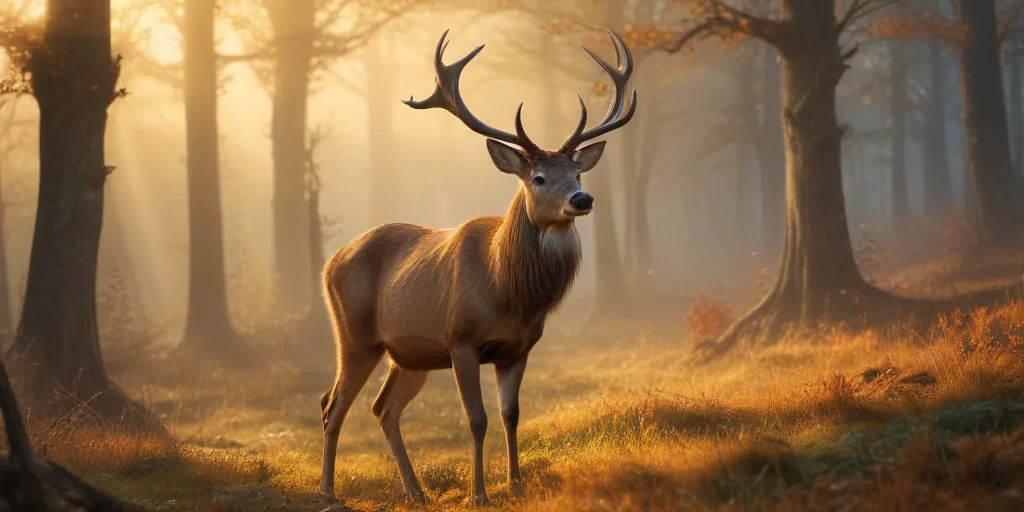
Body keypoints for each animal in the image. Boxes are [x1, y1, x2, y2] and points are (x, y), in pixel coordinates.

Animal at [318, 29, 637, 506]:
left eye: (578, 174)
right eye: (538, 177)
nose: (582, 199)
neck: (507, 292)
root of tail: (329, 262)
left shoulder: (520, 348)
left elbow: (511, 415)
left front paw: (517, 485)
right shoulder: (461, 338)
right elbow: (477, 418)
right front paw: (479, 494)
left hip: (409, 354)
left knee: (383, 408)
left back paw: (417, 492)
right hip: (355, 336)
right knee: (332, 405)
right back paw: (327, 492)